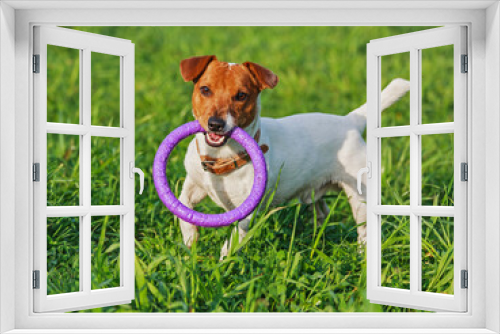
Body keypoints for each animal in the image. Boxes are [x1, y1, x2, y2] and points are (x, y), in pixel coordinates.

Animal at [176, 54, 410, 258]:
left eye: (241, 95)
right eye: (205, 90)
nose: (215, 123)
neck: (221, 157)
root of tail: (351, 120)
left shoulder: (247, 212)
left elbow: (234, 238)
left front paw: (223, 262)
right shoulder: (193, 185)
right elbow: (183, 206)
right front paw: (190, 244)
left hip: (360, 195)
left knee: (364, 228)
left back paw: (361, 256)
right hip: (315, 193)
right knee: (322, 212)